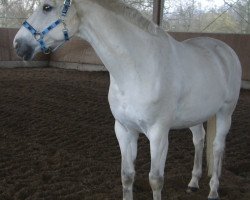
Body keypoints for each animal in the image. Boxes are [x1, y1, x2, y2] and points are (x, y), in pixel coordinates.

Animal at [14, 0, 242, 199]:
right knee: (199, 140)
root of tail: (224, 49)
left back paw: (213, 191)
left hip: (225, 113)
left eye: (47, 7)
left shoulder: (158, 134)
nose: (17, 44)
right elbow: (127, 176)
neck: (138, 68)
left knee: (217, 147)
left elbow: (156, 180)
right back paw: (193, 183)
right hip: (195, 117)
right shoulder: (124, 129)